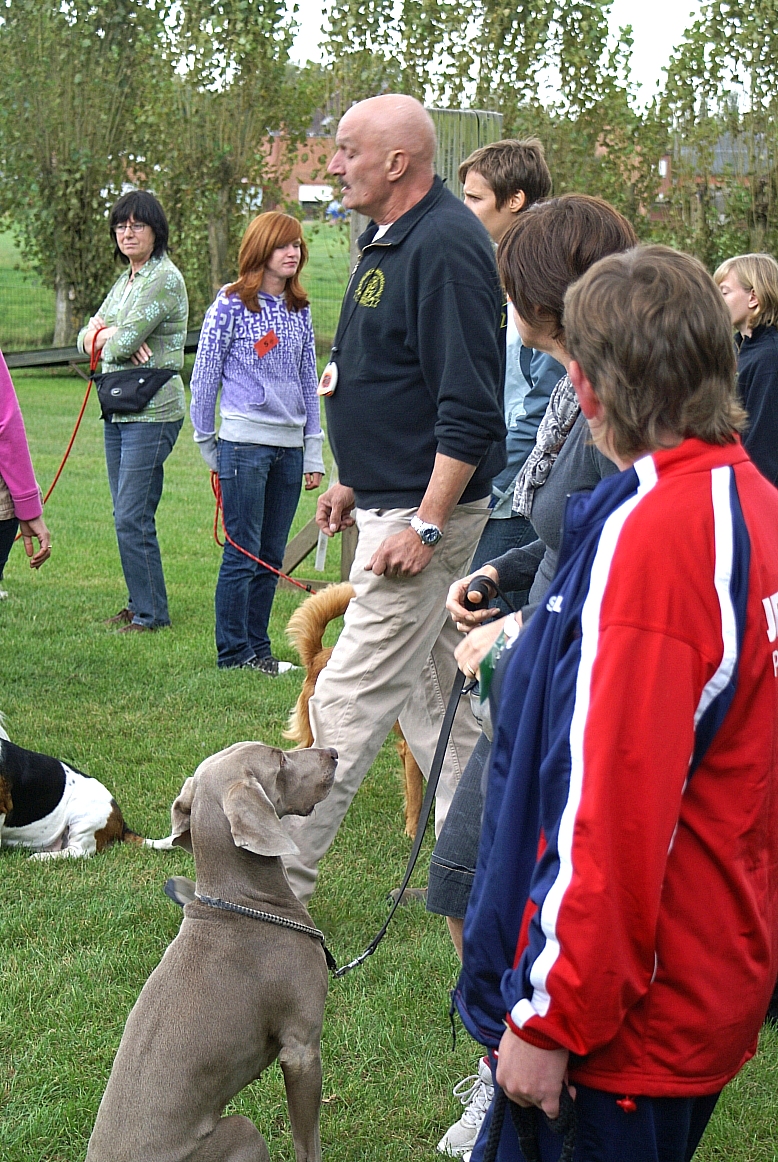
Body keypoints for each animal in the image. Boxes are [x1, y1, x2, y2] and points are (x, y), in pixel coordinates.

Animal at [86, 740, 338, 1162]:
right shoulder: (302, 1048)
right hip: (242, 1131)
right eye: (280, 758)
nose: (334, 752)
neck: (243, 903)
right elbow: (308, 1142)